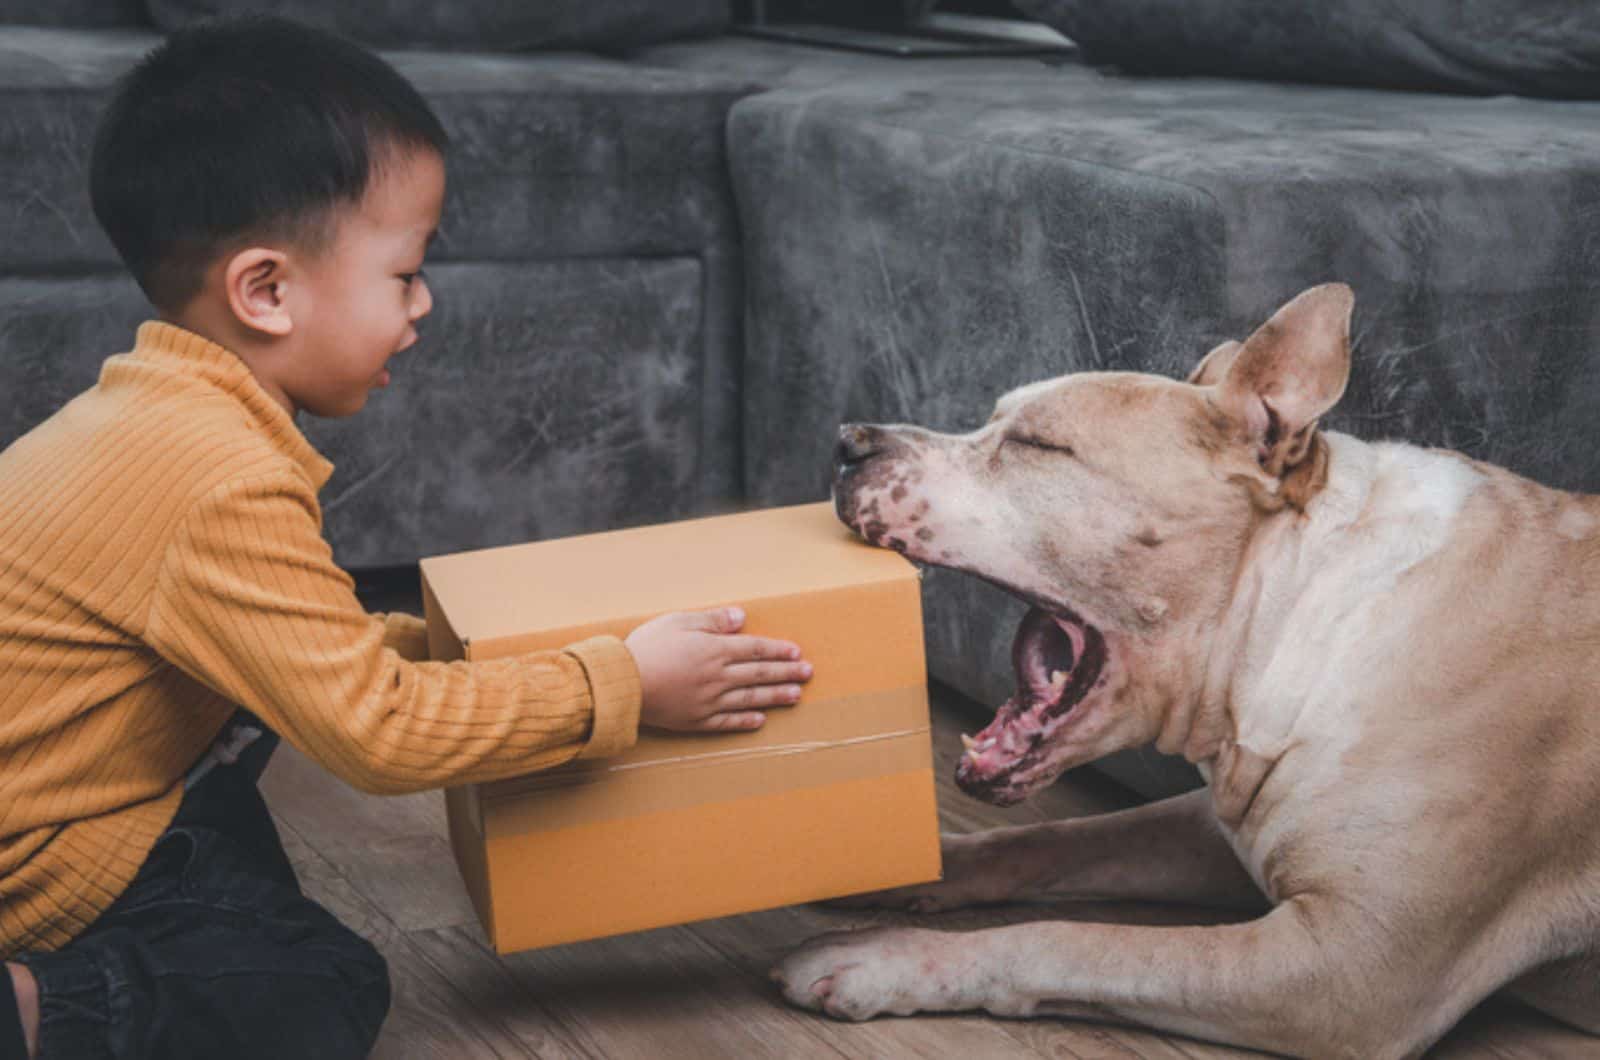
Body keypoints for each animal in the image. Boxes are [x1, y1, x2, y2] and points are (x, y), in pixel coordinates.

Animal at [771, 285, 1600, 1060]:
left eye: (1039, 445)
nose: (847, 440)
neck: (1294, 607)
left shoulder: (1352, 968)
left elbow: (1073, 941)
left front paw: (881, 961)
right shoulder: (1218, 823)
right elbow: (1054, 839)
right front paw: (890, 861)